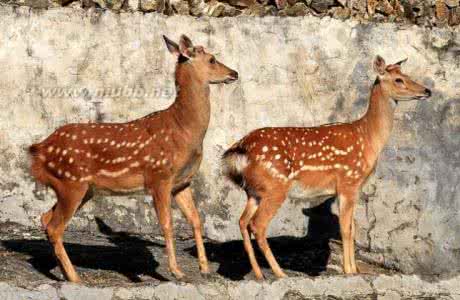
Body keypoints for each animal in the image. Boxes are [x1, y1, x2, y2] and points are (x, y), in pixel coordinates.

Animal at [29, 34, 237, 282]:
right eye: (212, 59)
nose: (234, 73)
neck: (184, 130)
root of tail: (38, 150)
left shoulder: (182, 182)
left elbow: (196, 219)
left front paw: (204, 268)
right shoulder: (159, 176)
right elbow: (166, 223)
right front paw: (176, 271)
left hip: (81, 188)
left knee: (45, 218)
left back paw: (64, 273)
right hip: (71, 182)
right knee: (55, 227)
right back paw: (76, 278)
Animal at [223, 55, 432, 278]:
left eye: (406, 75)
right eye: (399, 80)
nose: (427, 91)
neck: (368, 138)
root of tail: (240, 149)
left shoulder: (351, 188)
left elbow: (353, 227)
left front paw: (354, 269)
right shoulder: (349, 181)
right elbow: (346, 229)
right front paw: (349, 271)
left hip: (253, 191)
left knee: (242, 221)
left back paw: (259, 275)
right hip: (275, 186)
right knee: (258, 225)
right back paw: (280, 274)